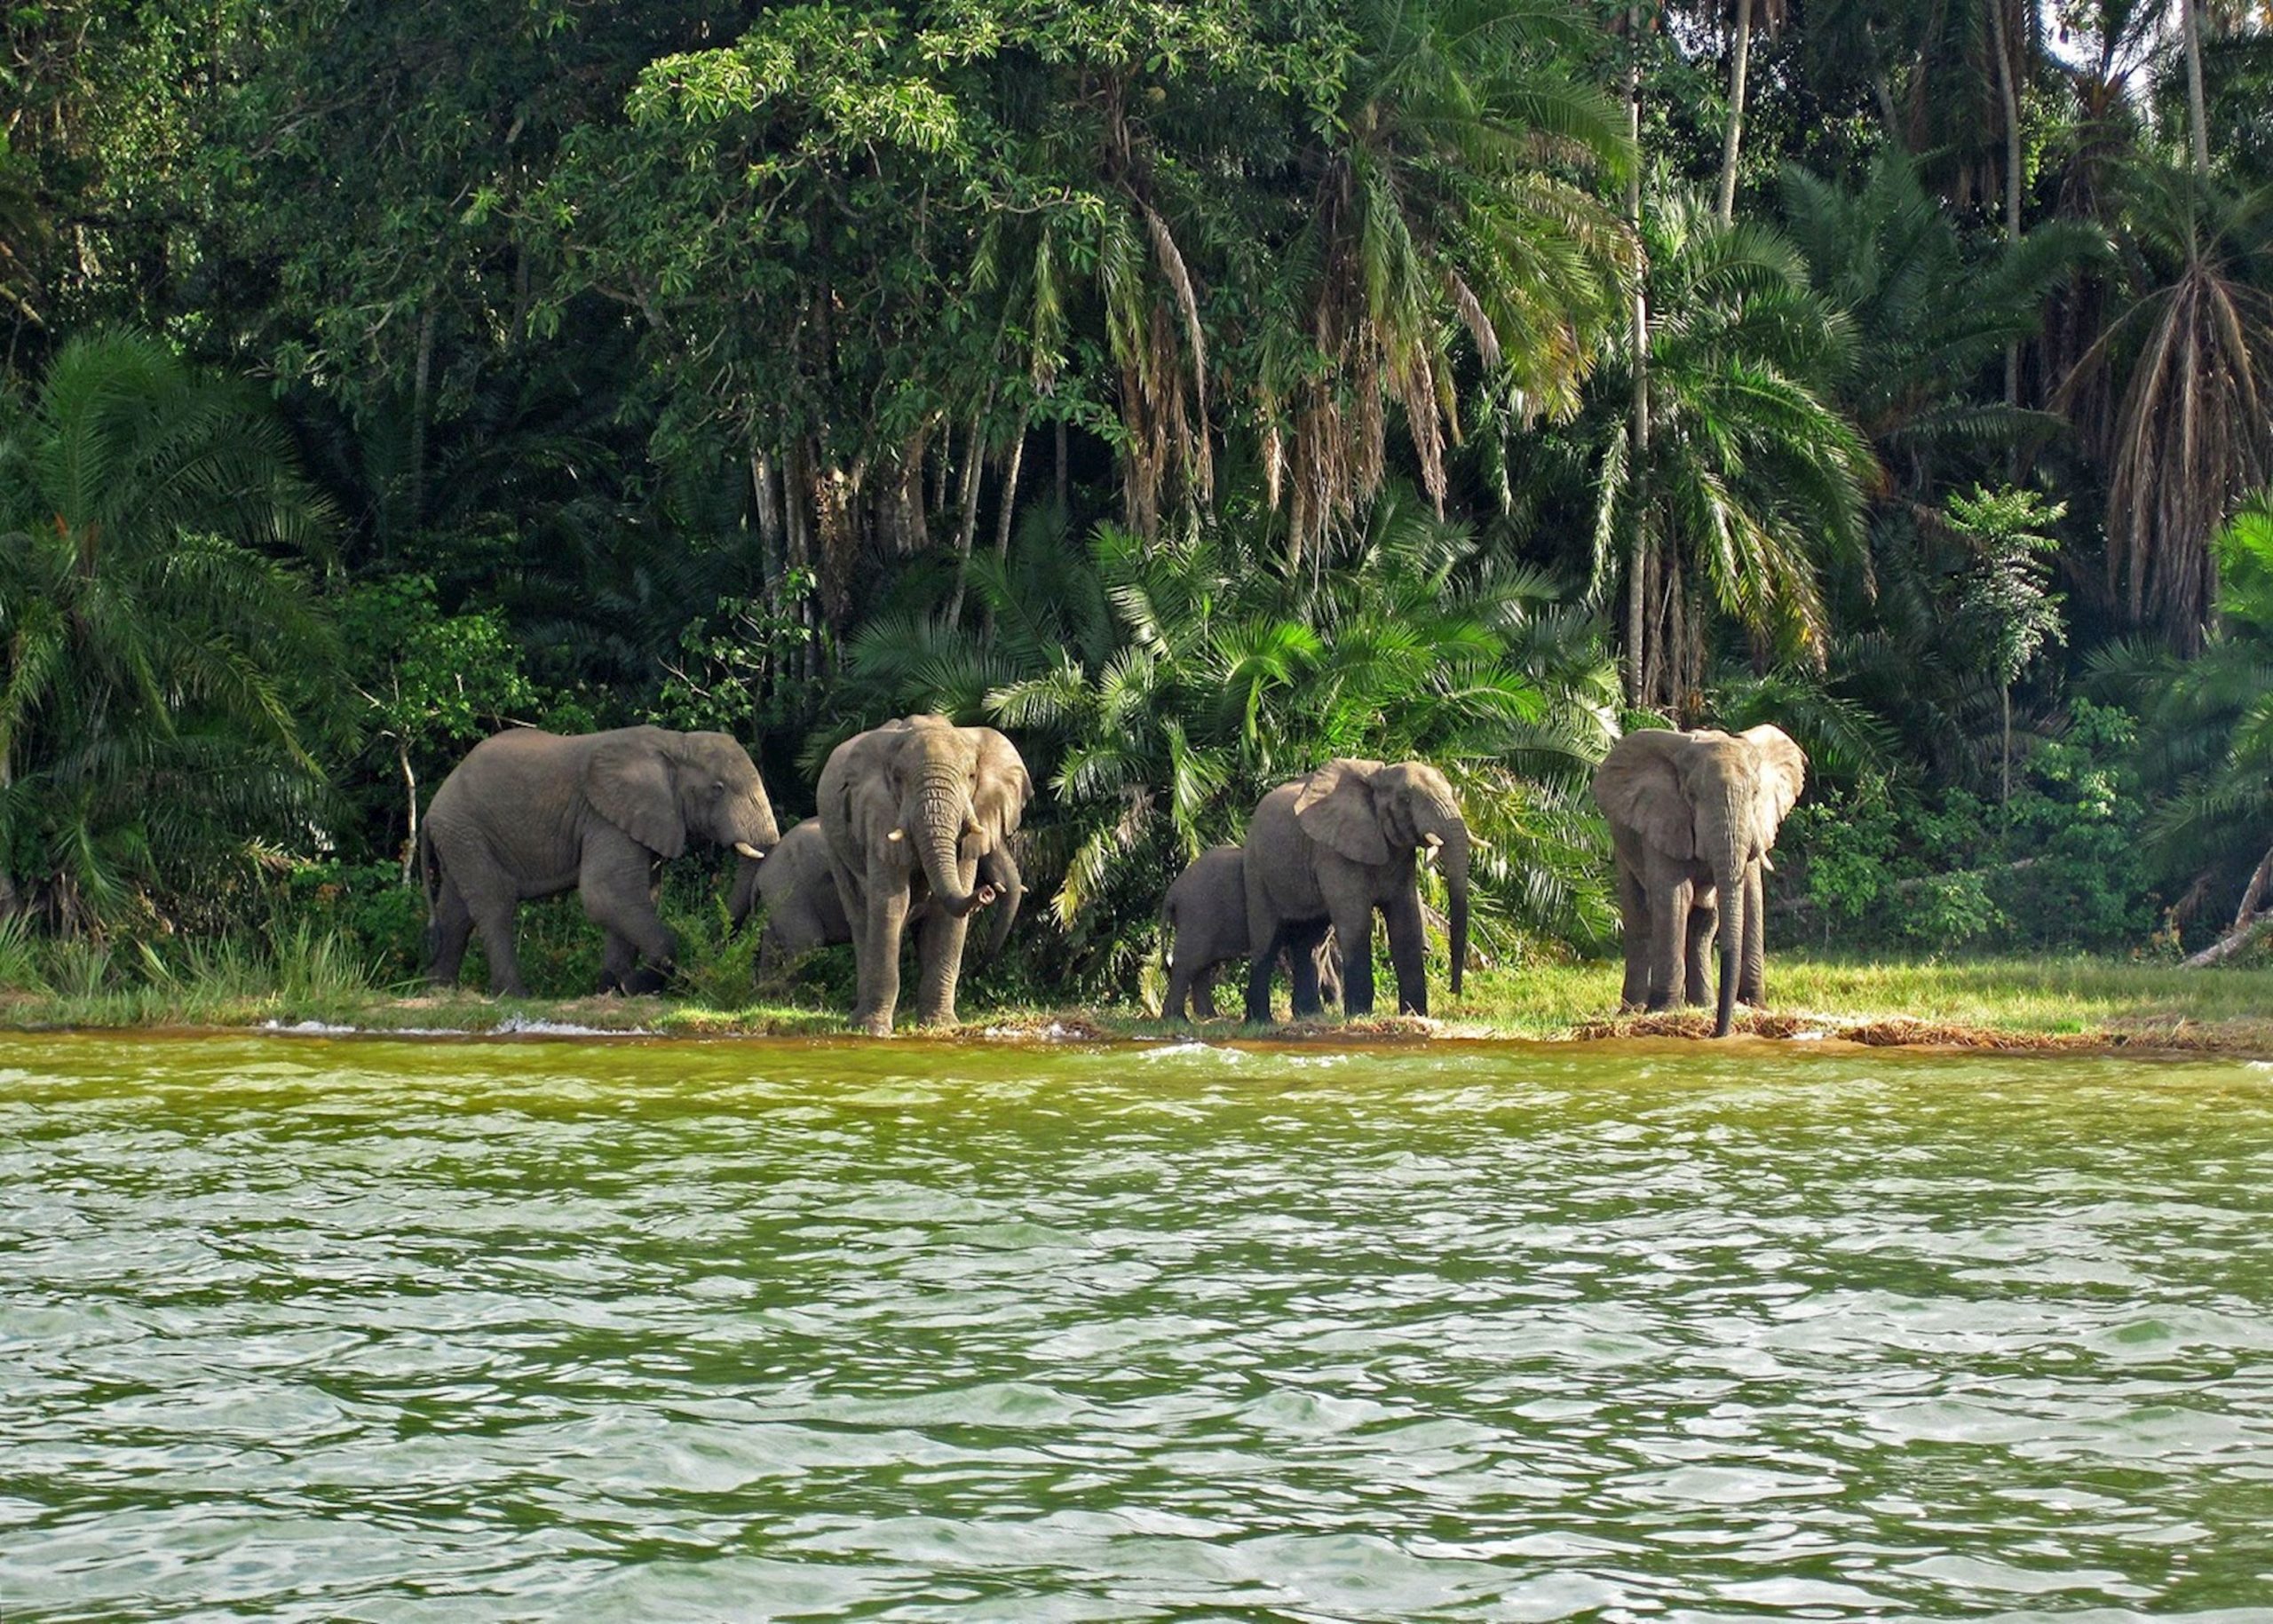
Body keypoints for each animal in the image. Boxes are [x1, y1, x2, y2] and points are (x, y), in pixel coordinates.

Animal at [418, 723, 781, 1001]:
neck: (674, 743)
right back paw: (515, 995)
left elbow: (637, 898)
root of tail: (431, 808)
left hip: (460, 836)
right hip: (466, 829)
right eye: (717, 789)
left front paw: (613, 989)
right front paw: (633, 986)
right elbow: (606, 895)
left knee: (456, 912)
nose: (704, 972)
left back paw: (439, 992)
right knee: (495, 903)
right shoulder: (605, 816)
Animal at [732, 814, 1018, 969]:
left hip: (776, 897)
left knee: (771, 946)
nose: (987, 892)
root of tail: (761, 874)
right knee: (806, 942)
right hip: (787, 890)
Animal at [818, 714, 1032, 1032]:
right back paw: (858, 1020)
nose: (987, 892)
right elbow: (891, 904)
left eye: (971, 776)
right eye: (897, 779)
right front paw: (873, 1031)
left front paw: (941, 1027)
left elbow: (947, 914)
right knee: (861, 917)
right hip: (834, 844)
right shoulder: (877, 816)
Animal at [1163, 841, 1336, 1018]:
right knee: (1190, 961)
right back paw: (1179, 1018)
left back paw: (1208, 1016)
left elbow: (1321, 951)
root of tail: (1172, 893)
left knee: (1201, 964)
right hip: (1197, 916)